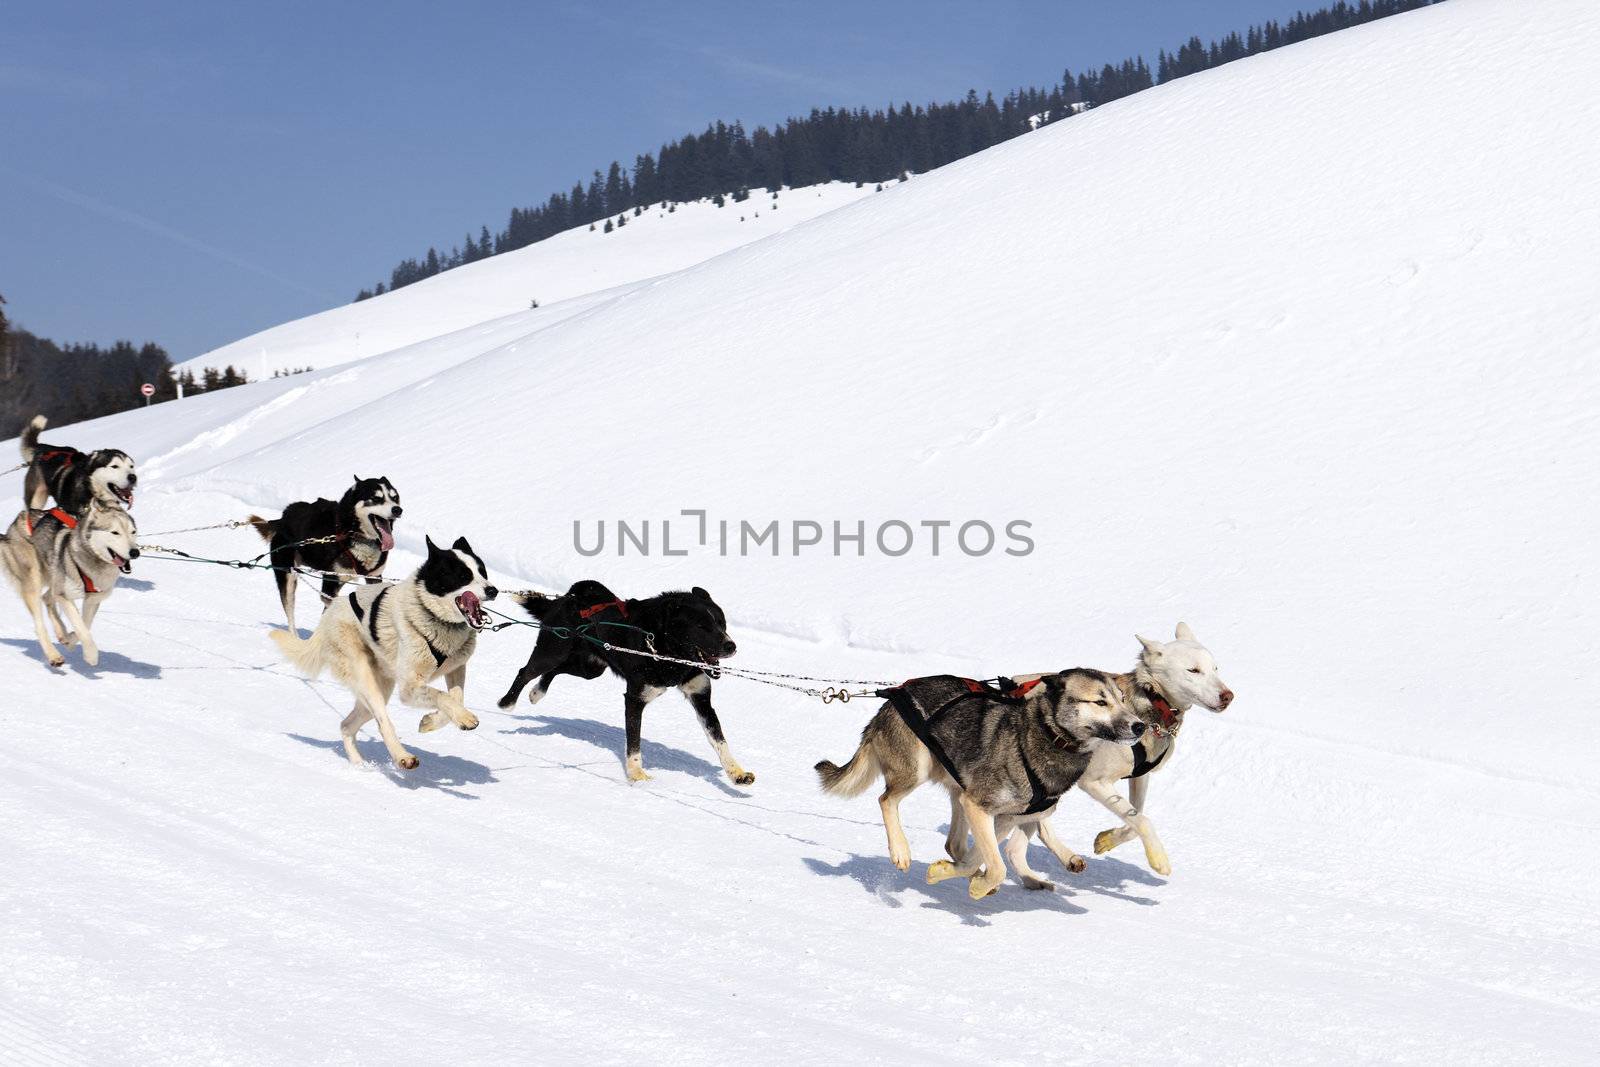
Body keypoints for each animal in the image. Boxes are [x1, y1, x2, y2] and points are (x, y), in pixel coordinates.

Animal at [249, 476, 403, 633]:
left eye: (395, 497)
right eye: (376, 498)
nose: (398, 510)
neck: (353, 533)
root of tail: (281, 519)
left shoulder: (374, 577)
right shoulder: (330, 587)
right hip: (288, 577)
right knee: (290, 613)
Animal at [496, 579, 752, 790]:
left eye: (722, 623)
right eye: (702, 626)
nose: (731, 646)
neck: (667, 651)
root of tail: (569, 597)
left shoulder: (700, 698)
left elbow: (719, 739)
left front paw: (736, 773)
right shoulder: (635, 699)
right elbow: (634, 743)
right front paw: (637, 774)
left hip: (589, 668)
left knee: (556, 671)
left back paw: (537, 692)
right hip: (552, 651)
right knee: (526, 671)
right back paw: (507, 702)